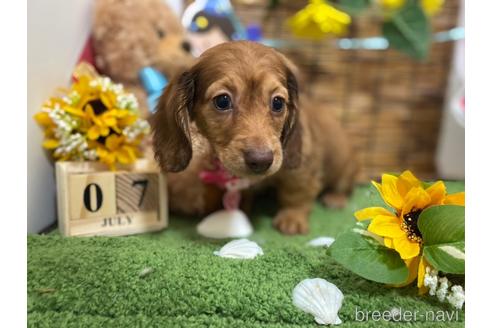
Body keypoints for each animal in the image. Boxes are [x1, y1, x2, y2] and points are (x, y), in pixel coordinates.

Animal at [151, 41, 358, 234]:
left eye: (278, 102)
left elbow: (297, 191)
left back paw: (335, 198)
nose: (261, 161)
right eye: (222, 101)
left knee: (344, 186)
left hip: (345, 169)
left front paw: (292, 218)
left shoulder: (302, 168)